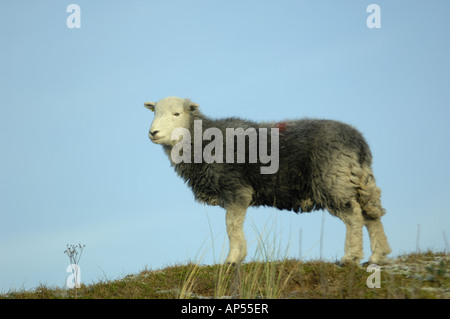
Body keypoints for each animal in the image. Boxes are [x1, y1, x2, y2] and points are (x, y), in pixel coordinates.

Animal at [144, 96, 390, 266]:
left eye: (177, 114)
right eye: (154, 112)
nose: (153, 133)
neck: (202, 142)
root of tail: (358, 142)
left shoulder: (236, 189)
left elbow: (231, 226)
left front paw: (232, 259)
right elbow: (234, 225)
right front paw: (238, 256)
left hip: (333, 180)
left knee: (354, 215)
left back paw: (350, 257)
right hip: (356, 178)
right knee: (371, 214)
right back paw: (377, 256)